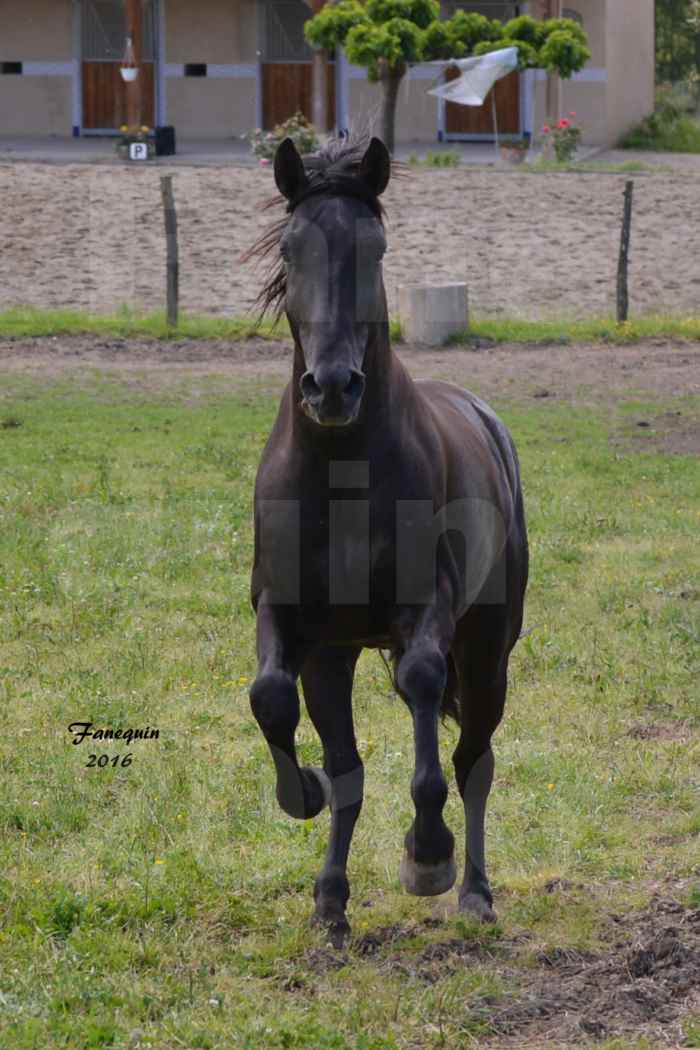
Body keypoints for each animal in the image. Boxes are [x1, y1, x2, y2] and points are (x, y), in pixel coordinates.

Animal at [246, 131, 524, 944]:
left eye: (374, 248)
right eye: (293, 247)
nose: (333, 387)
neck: (340, 471)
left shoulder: (425, 612)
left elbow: (428, 705)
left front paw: (426, 858)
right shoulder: (290, 620)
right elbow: (274, 703)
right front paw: (301, 792)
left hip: (489, 649)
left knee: (473, 758)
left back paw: (474, 892)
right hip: (338, 655)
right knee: (355, 769)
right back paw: (331, 904)